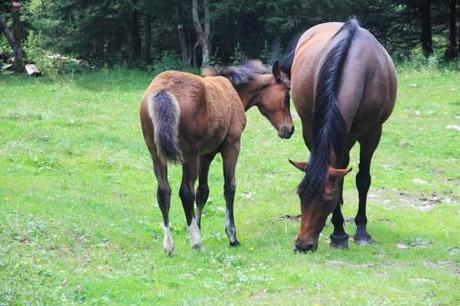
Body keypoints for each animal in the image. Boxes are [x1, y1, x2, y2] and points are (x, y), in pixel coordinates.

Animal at [139, 61, 294, 255]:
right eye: (286, 95)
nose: (289, 129)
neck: (233, 91)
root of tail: (163, 90)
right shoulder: (231, 146)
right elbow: (229, 188)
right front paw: (232, 236)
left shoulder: (205, 154)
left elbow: (202, 192)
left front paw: (198, 227)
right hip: (188, 156)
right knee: (185, 192)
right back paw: (196, 242)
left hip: (157, 154)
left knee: (164, 191)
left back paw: (169, 245)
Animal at [282, 19, 398, 253]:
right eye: (300, 194)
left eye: (327, 199)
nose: (303, 245)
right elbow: (339, 175)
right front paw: (338, 232)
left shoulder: (372, 134)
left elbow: (362, 179)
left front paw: (361, 231)